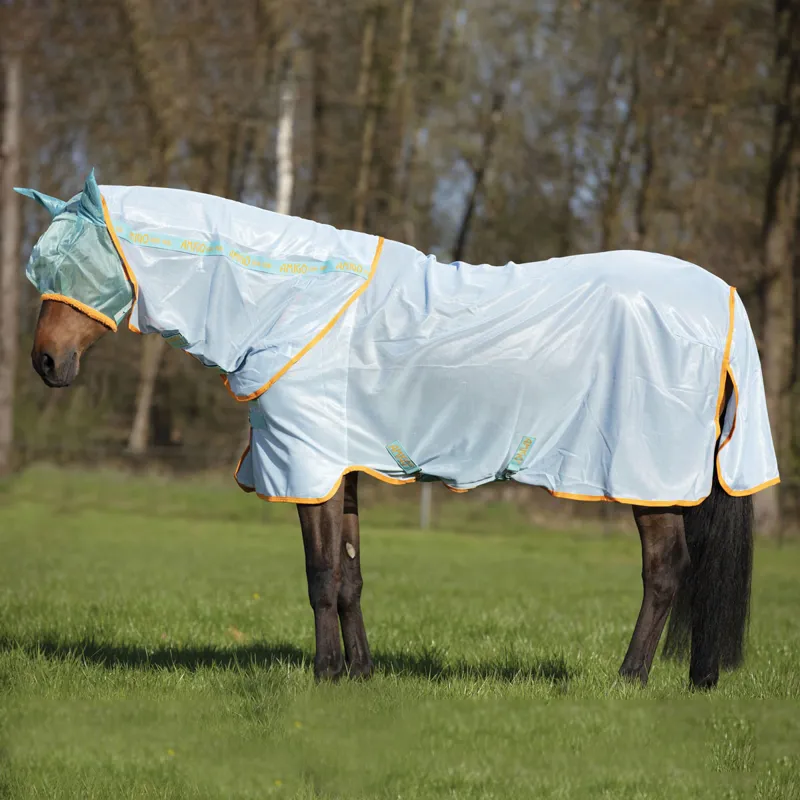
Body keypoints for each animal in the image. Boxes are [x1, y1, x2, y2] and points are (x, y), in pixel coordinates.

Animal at [21, 172, 777, 689]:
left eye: (72, 265)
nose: (45, 363)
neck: (293, 300)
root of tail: (723, 300)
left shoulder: (310, 467)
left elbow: (320, 574)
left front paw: (325, 675)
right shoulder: (343, 469)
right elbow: (352, 576)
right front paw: (360, 674)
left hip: (647, 478)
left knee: (667, 571)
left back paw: (630, 678)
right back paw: (694, 677)